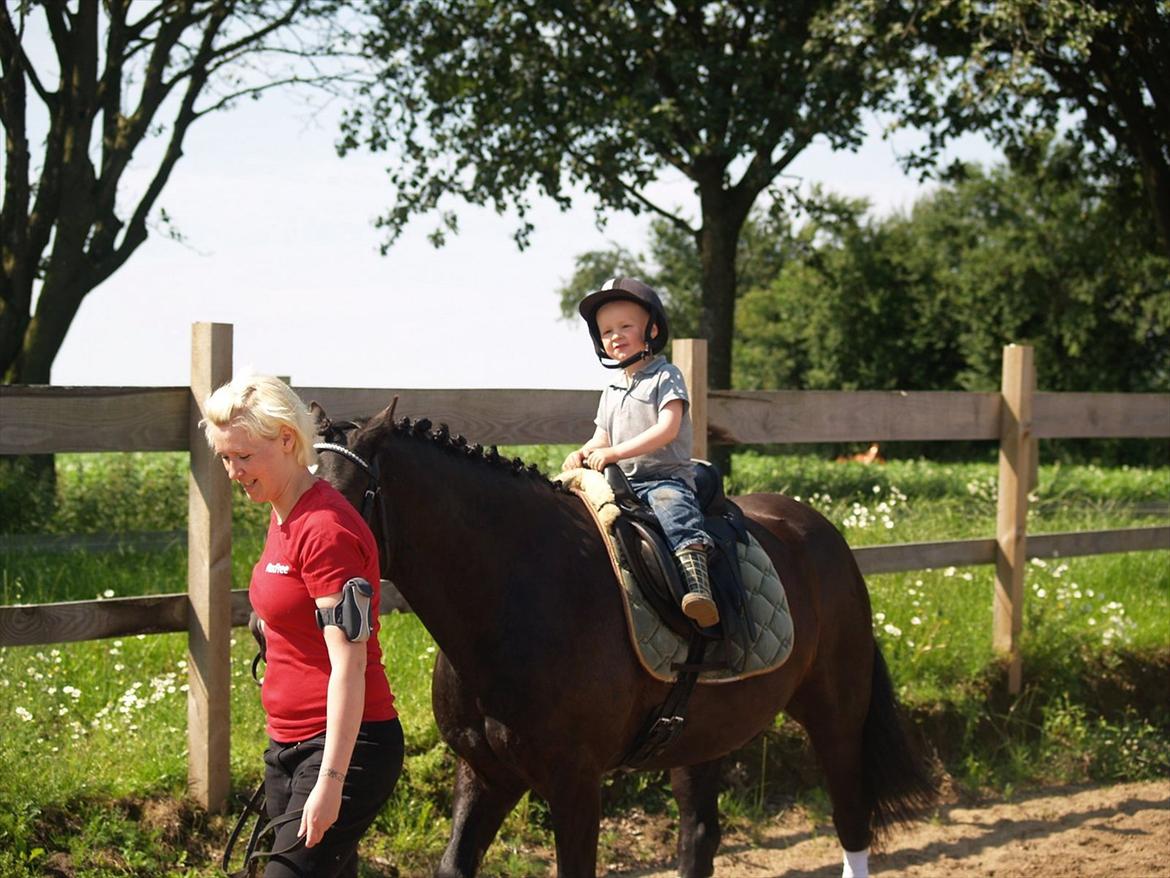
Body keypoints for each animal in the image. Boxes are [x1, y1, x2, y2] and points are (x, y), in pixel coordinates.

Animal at [315, 409, 935, 878]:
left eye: (342, 500)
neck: (517, 590)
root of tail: (824, 533)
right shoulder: (484, 773)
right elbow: (453, 865)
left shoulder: (574, 784)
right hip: (702, 737)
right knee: (699, 838)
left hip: (836, 715)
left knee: (851, 817)